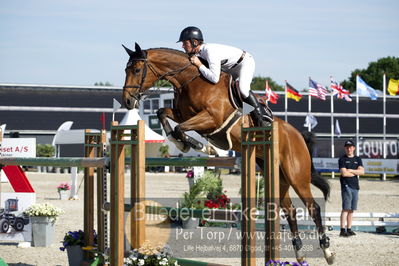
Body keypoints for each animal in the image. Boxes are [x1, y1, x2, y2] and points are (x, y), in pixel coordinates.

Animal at [123, 42, 336, 264]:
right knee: (291, 211)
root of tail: (298, 135)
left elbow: (180, 128)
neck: (191, 79)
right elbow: (164, 114)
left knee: (313, 208)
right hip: (278, 176)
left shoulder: (211, 118)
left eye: (136, 70)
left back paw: (327, 251)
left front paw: (199, 146)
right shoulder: (184, 114)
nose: (127, 101)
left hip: (296, 175)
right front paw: (183, 144)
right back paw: (300, 254)